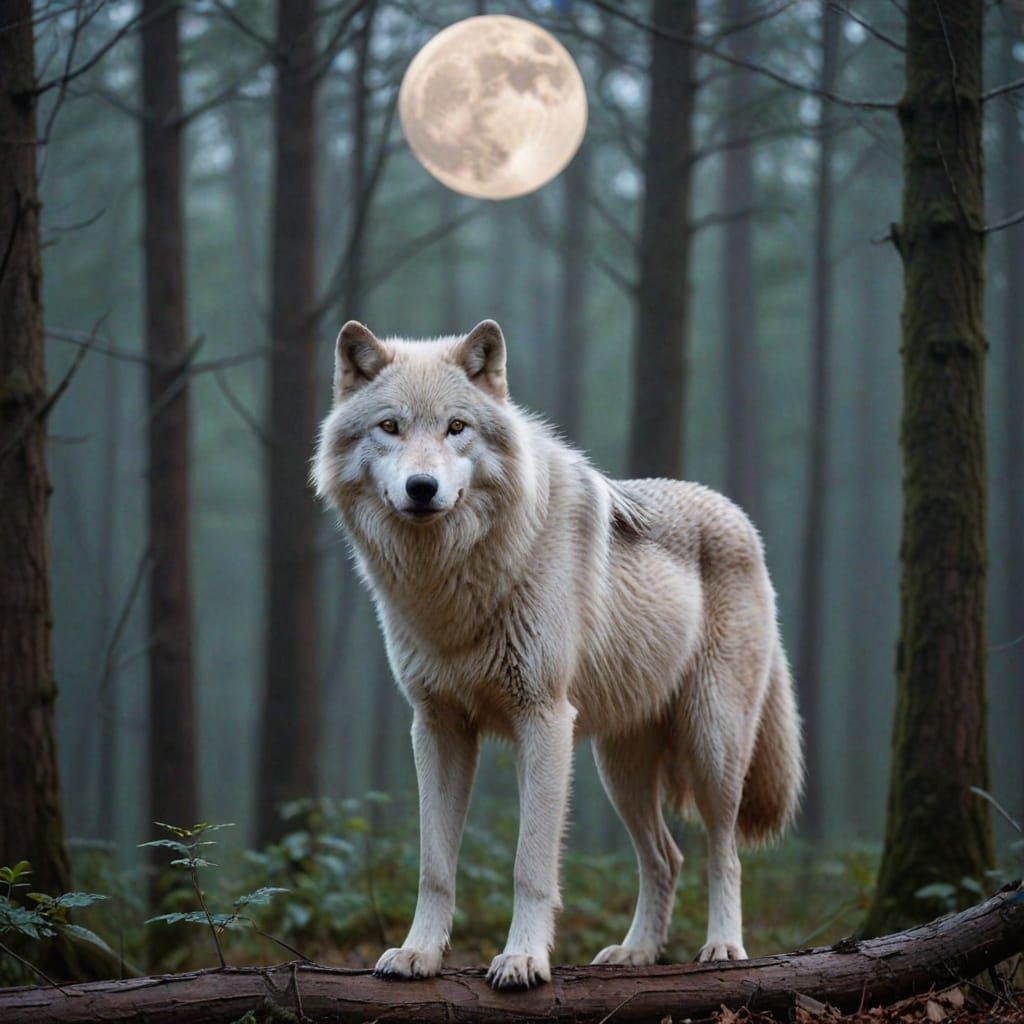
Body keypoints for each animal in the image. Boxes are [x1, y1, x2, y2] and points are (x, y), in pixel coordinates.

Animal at [312, 319, 803, 990]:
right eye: (390, 426)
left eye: (456, 427)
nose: (422, 488)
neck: (451, 583)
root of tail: (741, 519)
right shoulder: (436, 727)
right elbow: (434, 864)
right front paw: (420, 954)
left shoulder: (543, 721)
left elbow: (531, 864)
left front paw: (522, 959)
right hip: (618, 766)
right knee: (666, 857)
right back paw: (637, 952)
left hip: (712, 744)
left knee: (722, 852)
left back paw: (724, 946)